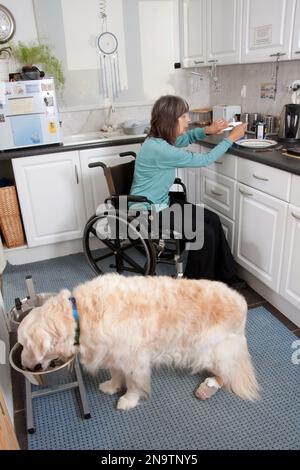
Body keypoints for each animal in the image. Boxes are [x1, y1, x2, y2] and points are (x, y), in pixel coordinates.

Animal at [17, 274, 258, 410]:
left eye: (24, 344)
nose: (24, 365)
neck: (81, 315)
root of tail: (243, 302)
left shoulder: (134, 360)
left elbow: (133, 384)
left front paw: (128, 401)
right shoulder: (113, 353)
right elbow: (115, 374)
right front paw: (112, 386)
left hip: (215, 350)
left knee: (226, 373)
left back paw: (209, 385)